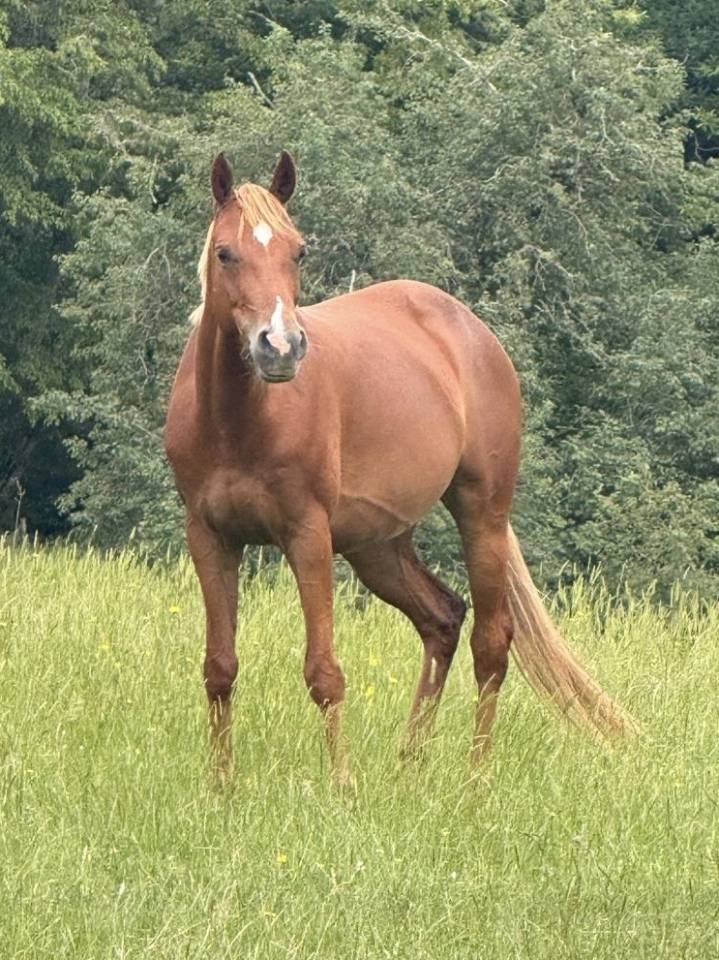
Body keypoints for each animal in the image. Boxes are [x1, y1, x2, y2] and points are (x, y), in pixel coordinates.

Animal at [165, 151, 636, 786]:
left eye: (298, 251)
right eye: (225, 253)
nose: (280, 348)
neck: (238, 421)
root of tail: (469, 328)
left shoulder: (307, 535)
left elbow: (324, 672)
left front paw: (341, 783)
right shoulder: (210, 537)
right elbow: (219, 667)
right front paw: (222, 787)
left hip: (481, 514)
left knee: (492, 643)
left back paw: (474, 778)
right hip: (378, 546)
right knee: (443, 619)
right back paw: (410, 762)